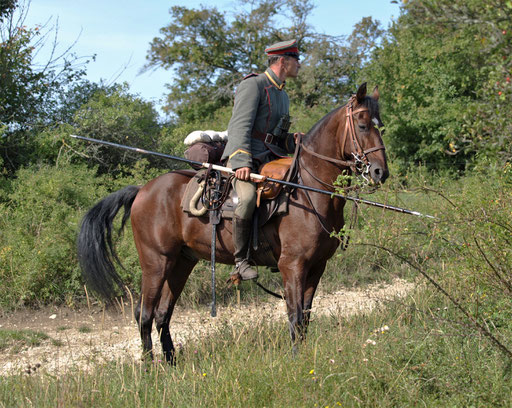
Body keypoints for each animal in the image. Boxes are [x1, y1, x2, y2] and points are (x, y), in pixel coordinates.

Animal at [76, 81, 388, 362]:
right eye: (362, 125)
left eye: (380, 125)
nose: (380, 172)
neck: (307, 189)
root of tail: (142, 190)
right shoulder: (293, 266)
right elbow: (295, 315)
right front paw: (296, 359)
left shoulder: (317, 267)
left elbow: (306, 317)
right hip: (156, 263)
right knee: (144, 313)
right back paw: (149, 366)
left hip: (181, 262)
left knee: (163, 313)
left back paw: (171, 363)